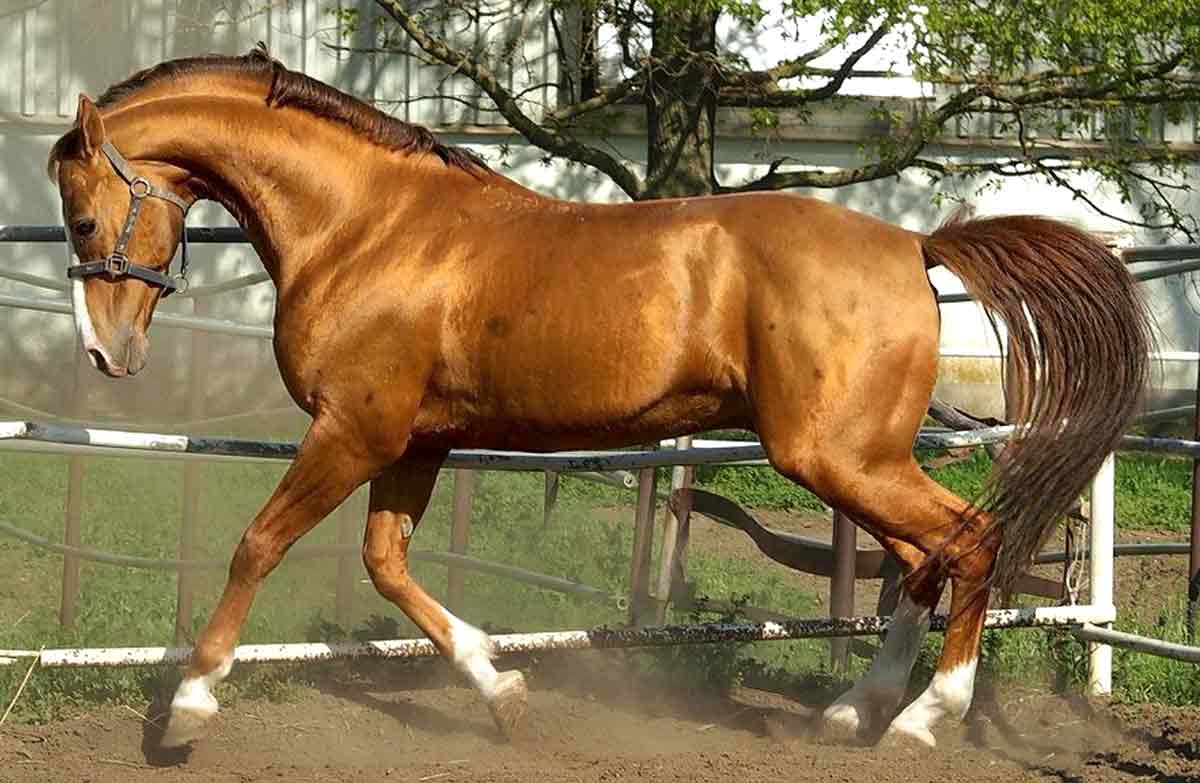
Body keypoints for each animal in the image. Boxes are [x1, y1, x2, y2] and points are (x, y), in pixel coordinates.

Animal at [47, 45, 1151, 750]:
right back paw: (857, 712)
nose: (106, 352)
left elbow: (258, 545)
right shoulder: (415, 444)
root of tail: (915, 243)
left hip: (836, 456)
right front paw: (503, 691)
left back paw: (924, 718)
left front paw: (188, 707)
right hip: (857, 458)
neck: (369, 225)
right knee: (927, 559)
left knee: (967, 541)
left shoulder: (354, 431)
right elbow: (386, 567)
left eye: (84, 212)